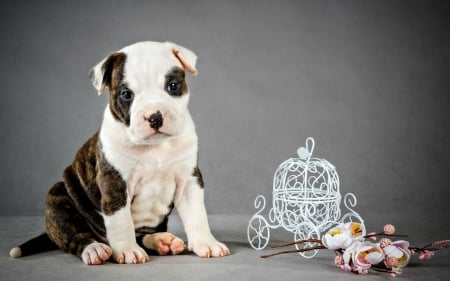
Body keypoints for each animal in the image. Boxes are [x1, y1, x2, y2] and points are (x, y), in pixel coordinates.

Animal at [10, 40, 230, 264]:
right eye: (126, 94)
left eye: (173, 86)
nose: (155, 117)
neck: (155, 148)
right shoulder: (115, 183)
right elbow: (121, 221)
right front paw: (127, 250)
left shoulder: (188, 179)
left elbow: (197, 215)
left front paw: (207, 243)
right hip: (59, 198)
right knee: (76, 236)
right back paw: (95, 249)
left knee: (142, 236)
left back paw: (161, 241)